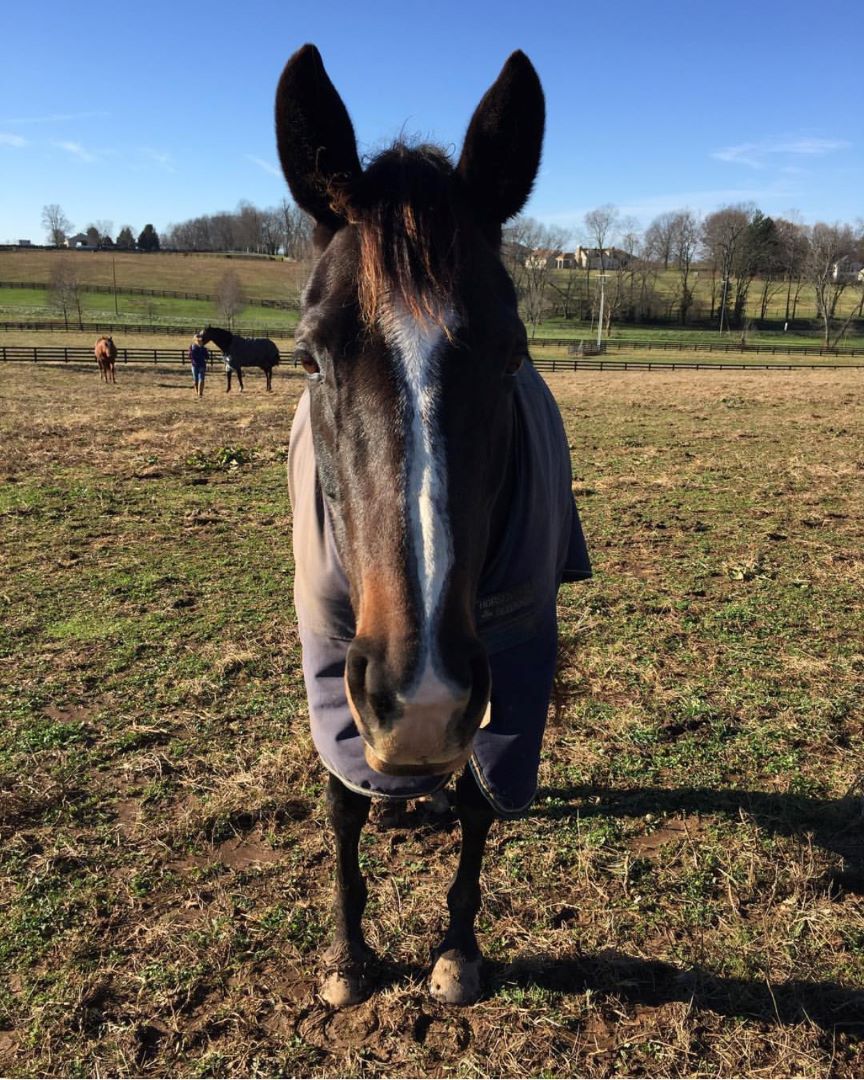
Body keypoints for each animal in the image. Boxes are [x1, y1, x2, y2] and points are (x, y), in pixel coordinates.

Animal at [277, 45, 591, 1007]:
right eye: (310, 356)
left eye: (514, 352)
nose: (420, 701)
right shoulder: (331, 645)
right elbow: (340, 799)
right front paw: (349, 960)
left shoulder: (513, 654)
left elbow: (489, 799)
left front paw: (456, 951)